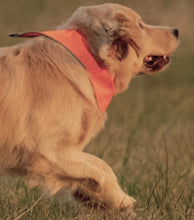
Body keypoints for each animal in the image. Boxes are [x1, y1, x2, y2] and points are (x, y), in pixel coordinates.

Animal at [0, 3, 179, 213]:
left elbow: (90, 172)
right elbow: (102, 167)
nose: (176, 31)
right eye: (141, 25)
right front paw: (121, 200)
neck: (87, 61)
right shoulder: (46, 150)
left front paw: (104, 201)